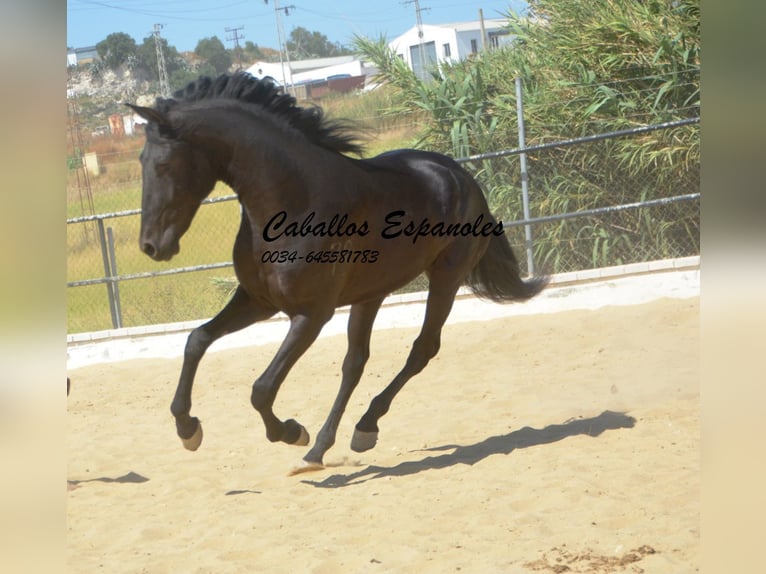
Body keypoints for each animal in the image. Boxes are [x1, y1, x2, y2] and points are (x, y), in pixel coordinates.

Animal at [127, 73, 544, 472]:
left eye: (163, 165)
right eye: (141, 163)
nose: (151, 246)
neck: (294, 200)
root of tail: (461, 175)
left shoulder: (311, 314)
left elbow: (262, 388)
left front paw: (291, 432)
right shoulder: (258, 301)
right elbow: (196, 340)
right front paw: (188, 430)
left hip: (445, 279)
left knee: (421, 350)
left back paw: (352, 432)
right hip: (371, 294)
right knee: (355, 363)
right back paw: (332, 444)